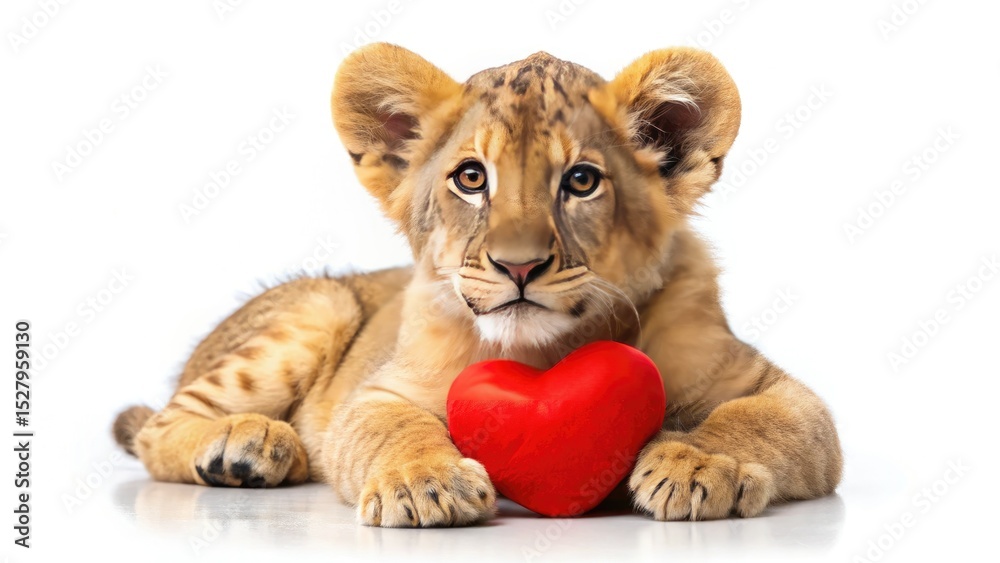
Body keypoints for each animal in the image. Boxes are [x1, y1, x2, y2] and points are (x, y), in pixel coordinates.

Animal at [113, 43, 842, 527]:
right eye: (471, 178)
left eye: (581, 181)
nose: (518, 266)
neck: (549, 352)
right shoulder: (379, 390)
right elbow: (391, 427)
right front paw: (424, 482)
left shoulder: (786, 396)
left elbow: (750, 419)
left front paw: (693, 464)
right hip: (318, 305)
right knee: (160, 426)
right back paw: (248, 445)